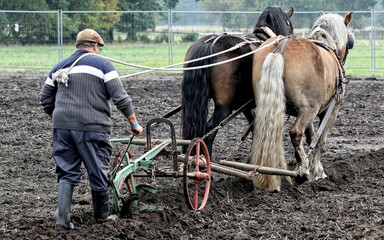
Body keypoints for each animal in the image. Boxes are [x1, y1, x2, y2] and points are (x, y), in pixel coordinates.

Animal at [182, 6, 294, 159]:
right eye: (290, 26)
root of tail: (210, 43)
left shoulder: (246, 106)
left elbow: (254, 127)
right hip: (224, 107)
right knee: (210, 129)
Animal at [250, 11, 356, 190]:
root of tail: (281, 48)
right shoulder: (330, 110)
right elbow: (319, 140)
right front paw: (315, 171)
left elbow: (311, 136)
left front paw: (308, 165)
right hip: (310, 109)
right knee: (296, 132)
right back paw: (304, 172)